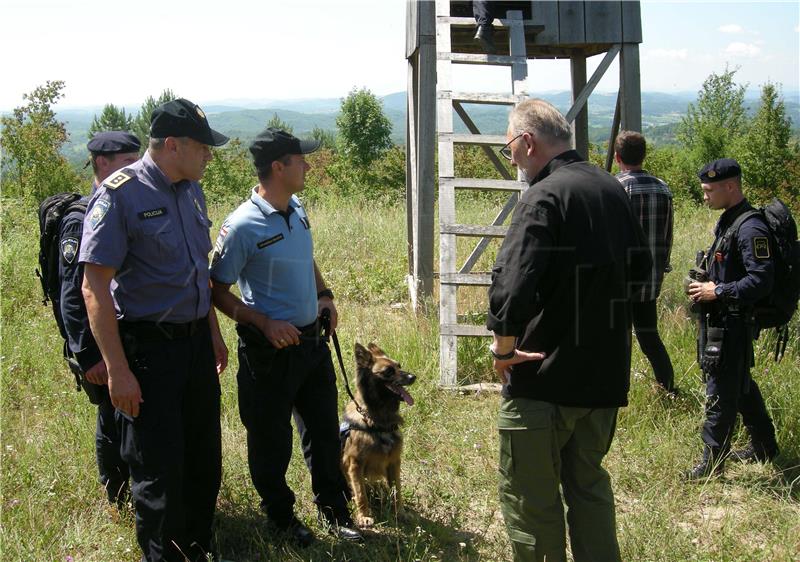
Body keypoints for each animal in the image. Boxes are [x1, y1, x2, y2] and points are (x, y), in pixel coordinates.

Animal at [342, 342, 418, 524]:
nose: (413, 377)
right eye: (388, 371)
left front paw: (400, 513)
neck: (376, 419)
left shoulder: (394, 462)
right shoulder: (355, 465)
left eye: (399, 366)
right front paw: (364, 516)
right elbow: (361, 494)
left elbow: (397, 491)